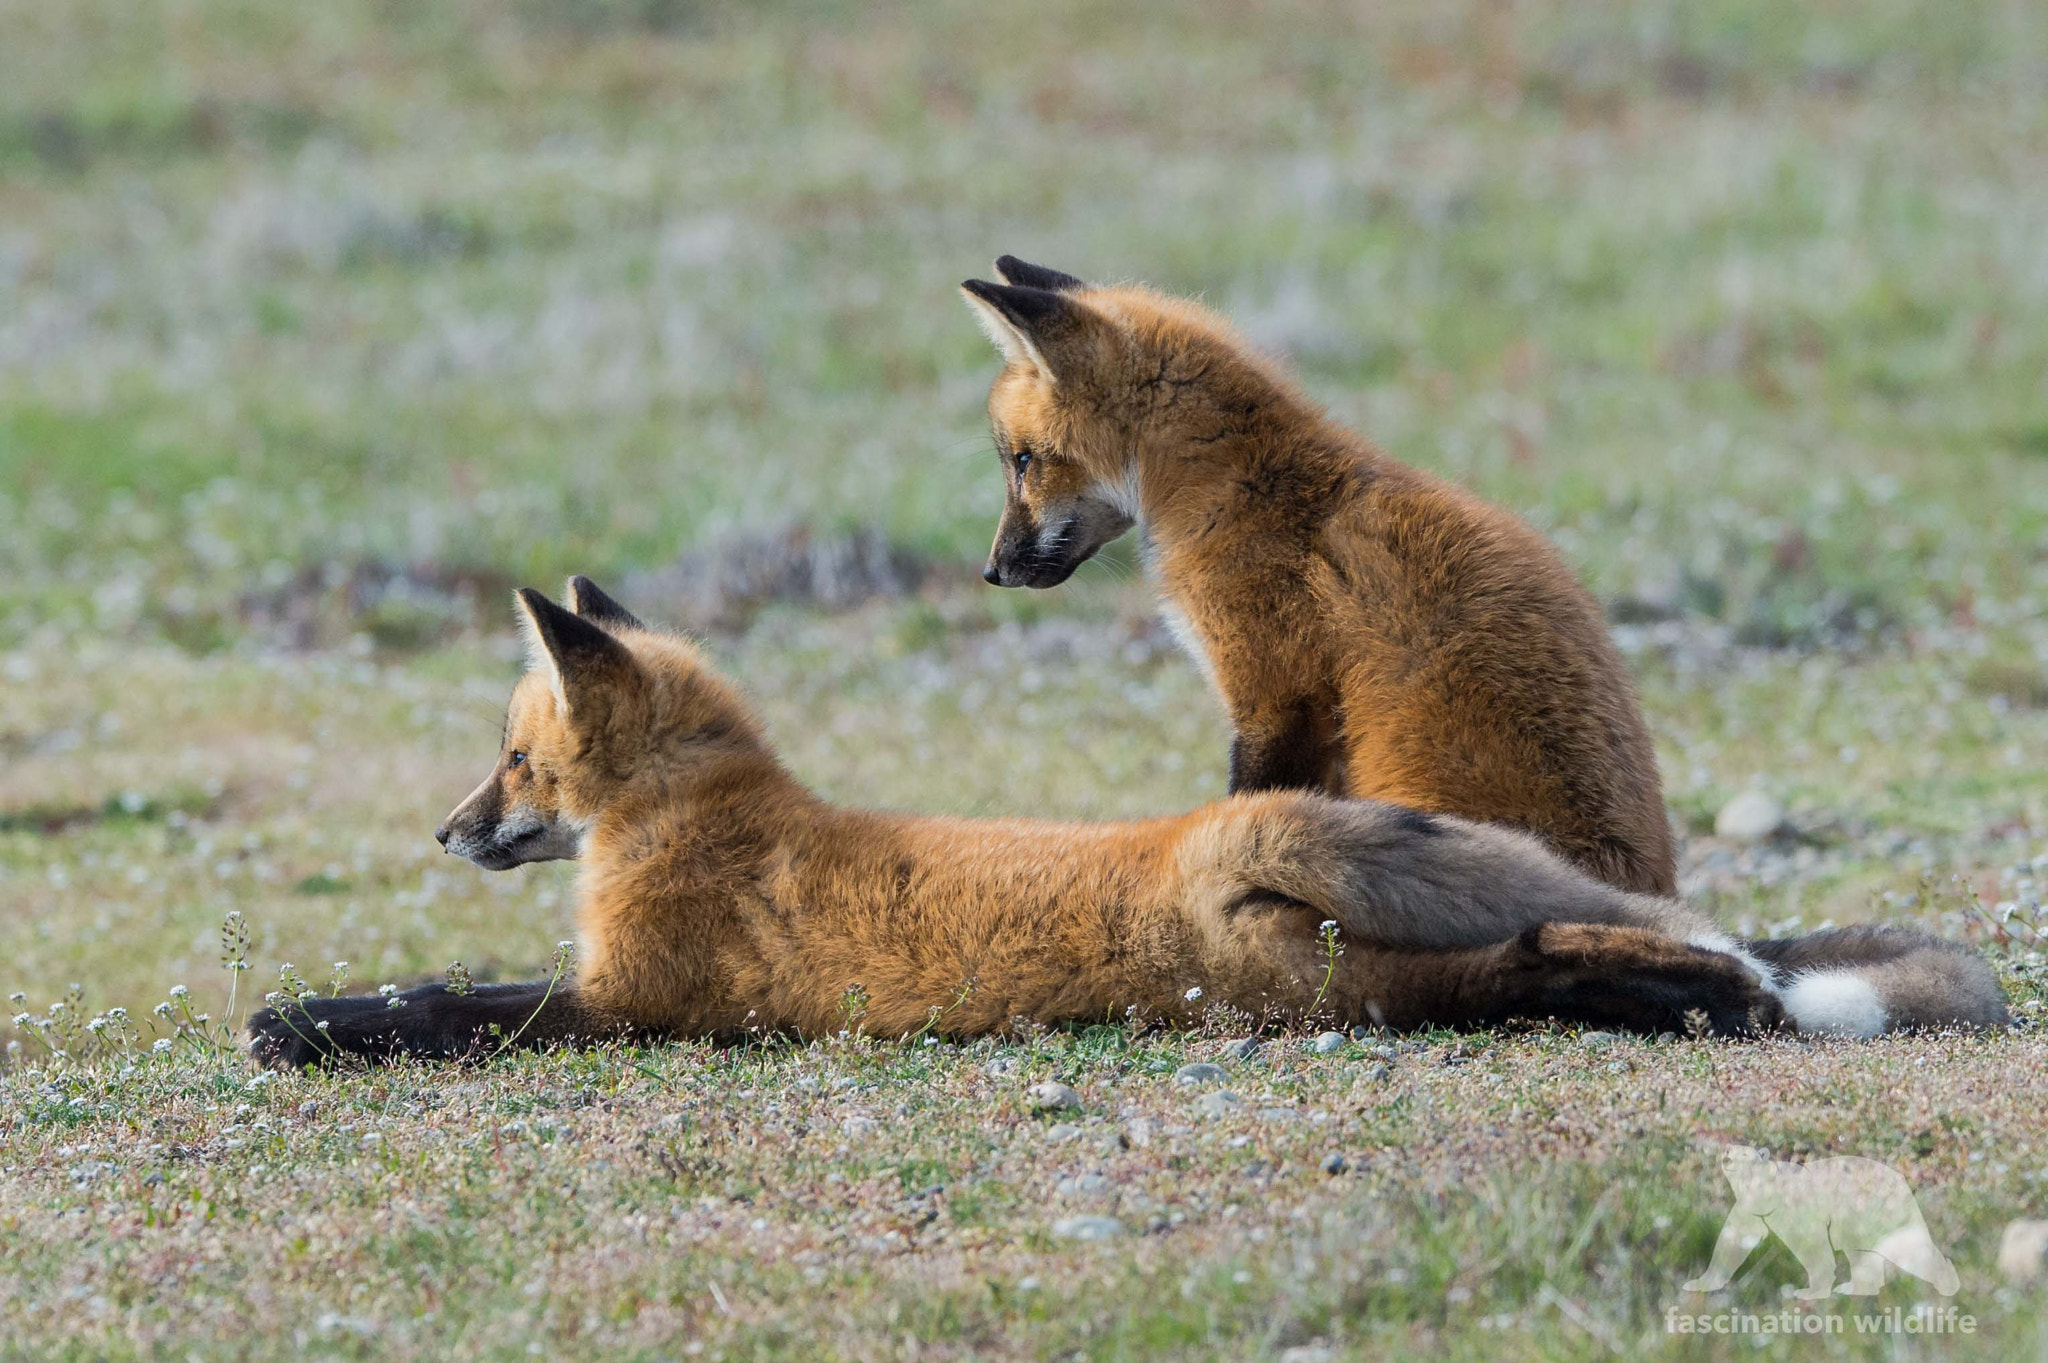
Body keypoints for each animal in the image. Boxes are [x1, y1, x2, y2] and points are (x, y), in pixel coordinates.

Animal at [247, 579, 2004, 1067]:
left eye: (512, 761)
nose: (445, 832)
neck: (708, 823)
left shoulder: (640, 999)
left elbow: (441, 1004)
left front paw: (308, 1020)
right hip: (1344, 943)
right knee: (1562, 957)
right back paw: (1708, 993)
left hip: (1320, 911)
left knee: (1579, 958)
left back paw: (1721, 994)